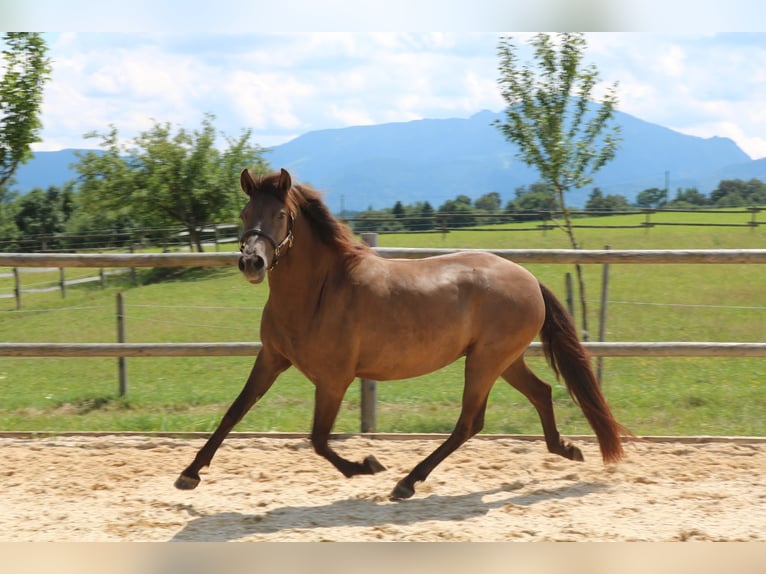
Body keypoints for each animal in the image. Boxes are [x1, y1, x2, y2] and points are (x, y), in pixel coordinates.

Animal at [175, 168, 628, 500]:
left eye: (281, 216)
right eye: (245, 214)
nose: (251, 263)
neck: (318, 292)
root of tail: (530, 278)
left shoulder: (334, 378)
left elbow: (318, 439)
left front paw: (367, 466)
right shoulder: (271, 358)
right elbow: (234, 412)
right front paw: (189, 474)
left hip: (485, 362)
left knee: (469, 422)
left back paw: (407, 482)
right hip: (504, 360)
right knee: (541, 393)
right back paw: (565, 449)